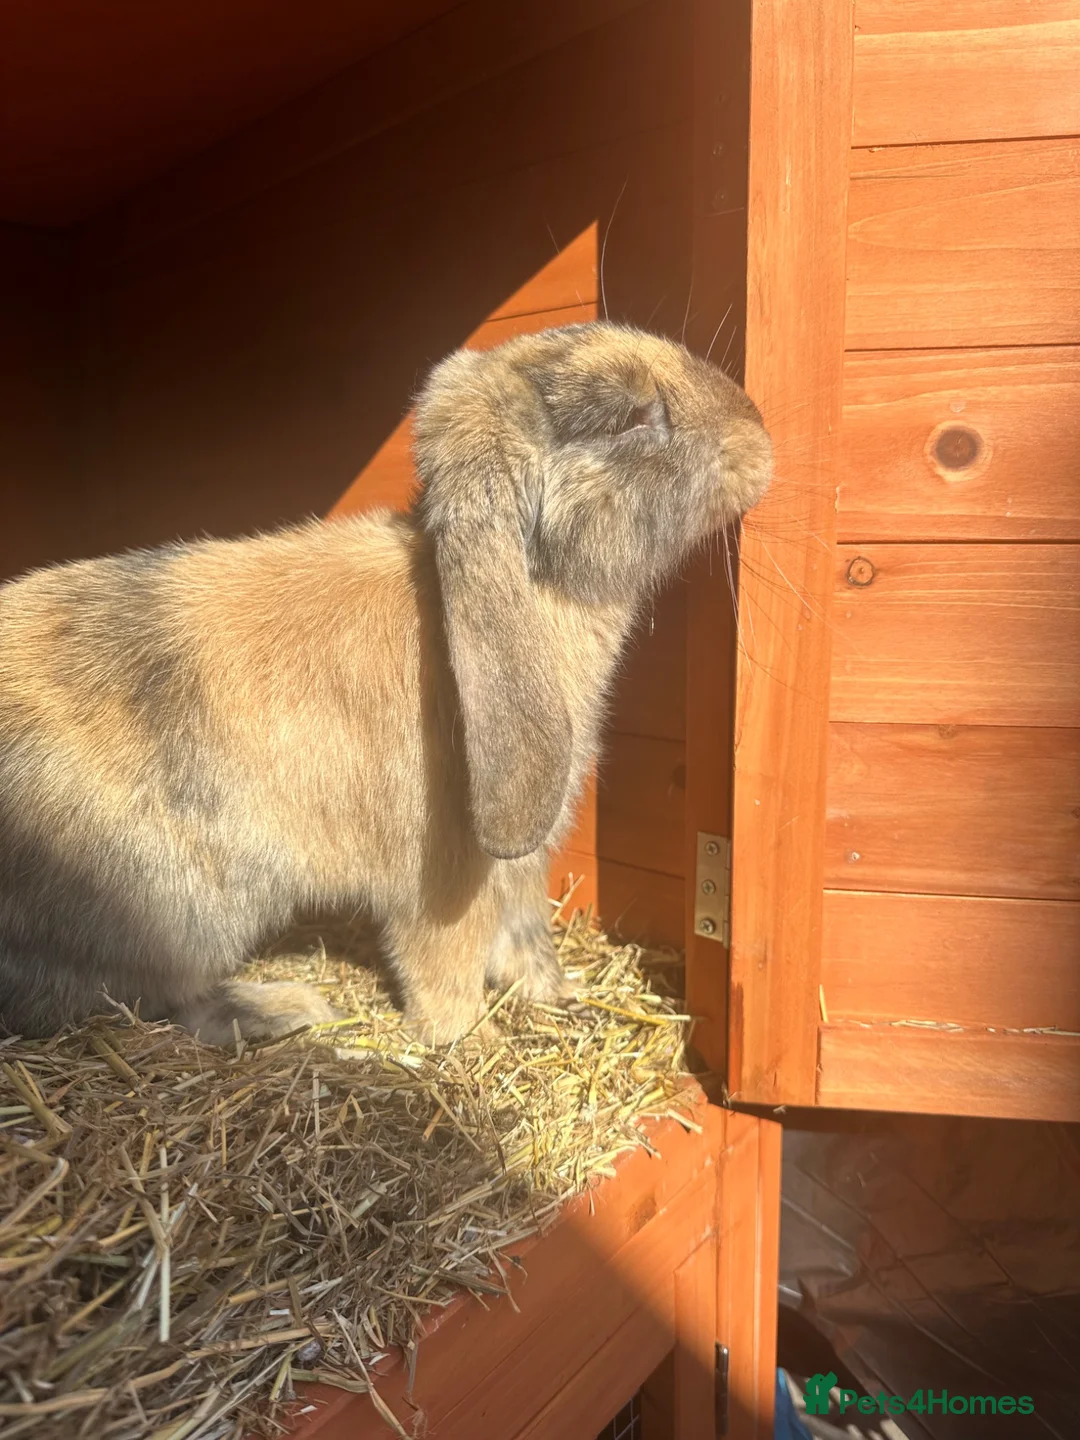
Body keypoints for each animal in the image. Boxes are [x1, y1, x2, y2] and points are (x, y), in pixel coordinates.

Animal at [0, 321, 771, 1047]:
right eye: (632, 417)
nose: (761, 441)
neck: (536, 590)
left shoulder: (524, 864)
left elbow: (525, 934)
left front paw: (553, 998)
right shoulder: (447, 875)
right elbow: (445, 964)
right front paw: (466, 1042)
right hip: (180, 910)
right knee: (150, 1001)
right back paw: (288, 1007)